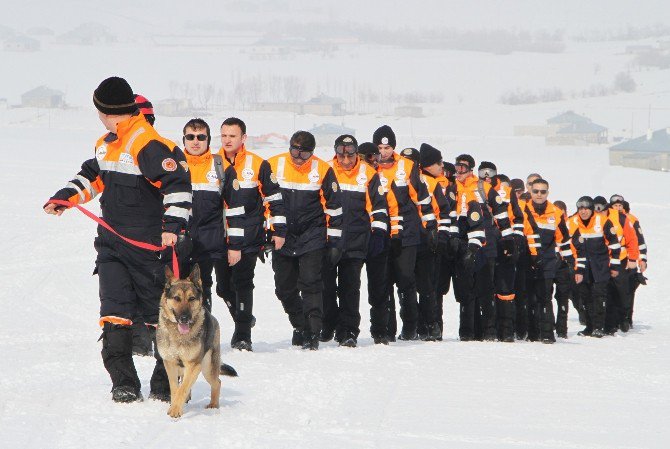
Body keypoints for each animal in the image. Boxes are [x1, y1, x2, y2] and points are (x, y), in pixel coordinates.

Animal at [158, 262, 239, 416]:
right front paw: (174, 406)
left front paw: (175, 410)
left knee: (217, 382)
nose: (185, 318)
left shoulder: (193, 364)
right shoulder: (170, 363)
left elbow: (182, 389)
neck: (179, 335)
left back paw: (213, 404)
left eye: (191, 299)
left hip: (207, 367)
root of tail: (212, 317)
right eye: (176, 298)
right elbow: (175, 388)